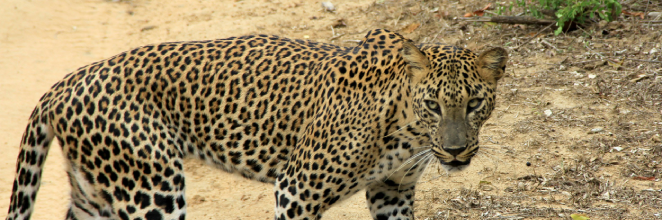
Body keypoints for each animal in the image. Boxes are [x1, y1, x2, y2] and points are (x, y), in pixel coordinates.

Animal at [6, 29, 508, 220]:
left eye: (474, 103)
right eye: (434, 105)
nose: (457, 151)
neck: (408, 131)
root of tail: (64, 83)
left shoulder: (393, 190)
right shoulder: (298, 190)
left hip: (97, 191)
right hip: (151, 187)